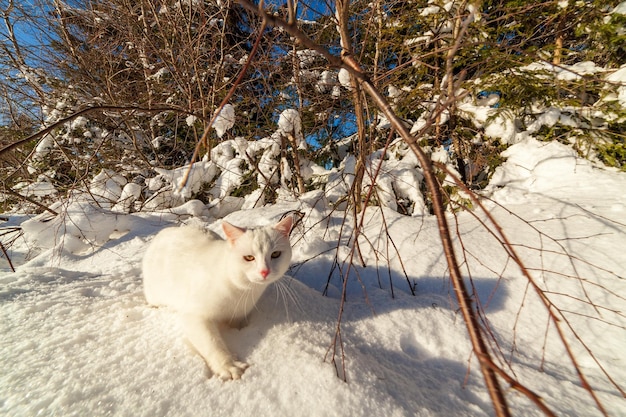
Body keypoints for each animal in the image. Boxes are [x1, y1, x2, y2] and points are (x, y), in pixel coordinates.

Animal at [143, 216, 294, 378]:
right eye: (249, 257)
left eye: (275, 254)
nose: (264, 271)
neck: (242, 290)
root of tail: (163, 232)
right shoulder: (195, 316)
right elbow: (212, 343)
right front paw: (229, 366)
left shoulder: (238, 316)